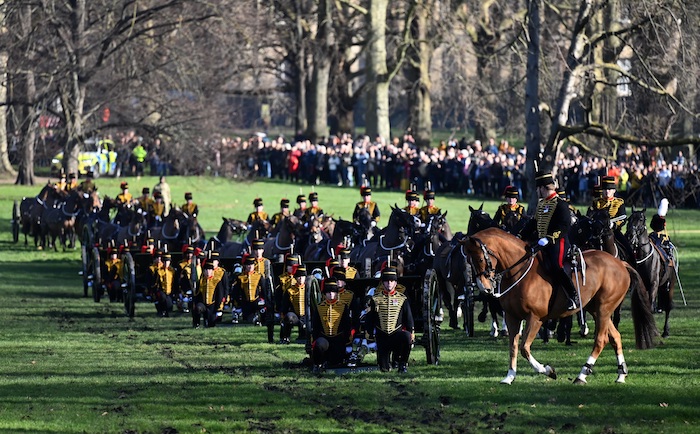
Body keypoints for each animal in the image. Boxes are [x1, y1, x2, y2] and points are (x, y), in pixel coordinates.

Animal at [464, 227, 656, 384]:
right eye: (469, 260)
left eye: (480, 259)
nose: (484, 287)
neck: (519, 272)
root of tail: (620, 263)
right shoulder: (512, 317)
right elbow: (513, 346)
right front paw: (510, 376)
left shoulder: (535, 319)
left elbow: (525, 348)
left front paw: (547, 370)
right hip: (596, 309)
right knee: (615, 337)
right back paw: (621, 374)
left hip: (604, 308)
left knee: (601, 340)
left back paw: (582, 375)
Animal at [628, 209, 676, 338]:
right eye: (629, 218)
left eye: (640, 219)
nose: (630, 235)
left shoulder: (653, 285)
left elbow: (649, 307)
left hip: (669, 285)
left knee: (668, 308)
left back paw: (666, 331)